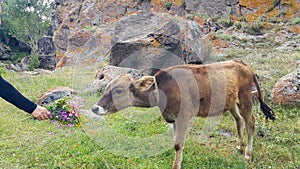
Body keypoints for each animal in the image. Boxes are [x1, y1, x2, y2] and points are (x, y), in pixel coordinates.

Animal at [92, 60, 274, 168]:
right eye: (106, 86)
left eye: (119, 90)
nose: (95, 108)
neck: (162, 92)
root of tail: (241, 63)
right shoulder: (173, 118)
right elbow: (175, 143)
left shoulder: (184, 116)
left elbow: (178, 144)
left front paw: (176, 166)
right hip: (230, 102)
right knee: (239, 120)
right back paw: (240, 146)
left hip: (245, 97)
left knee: (250, 123)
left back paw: (248, 155)